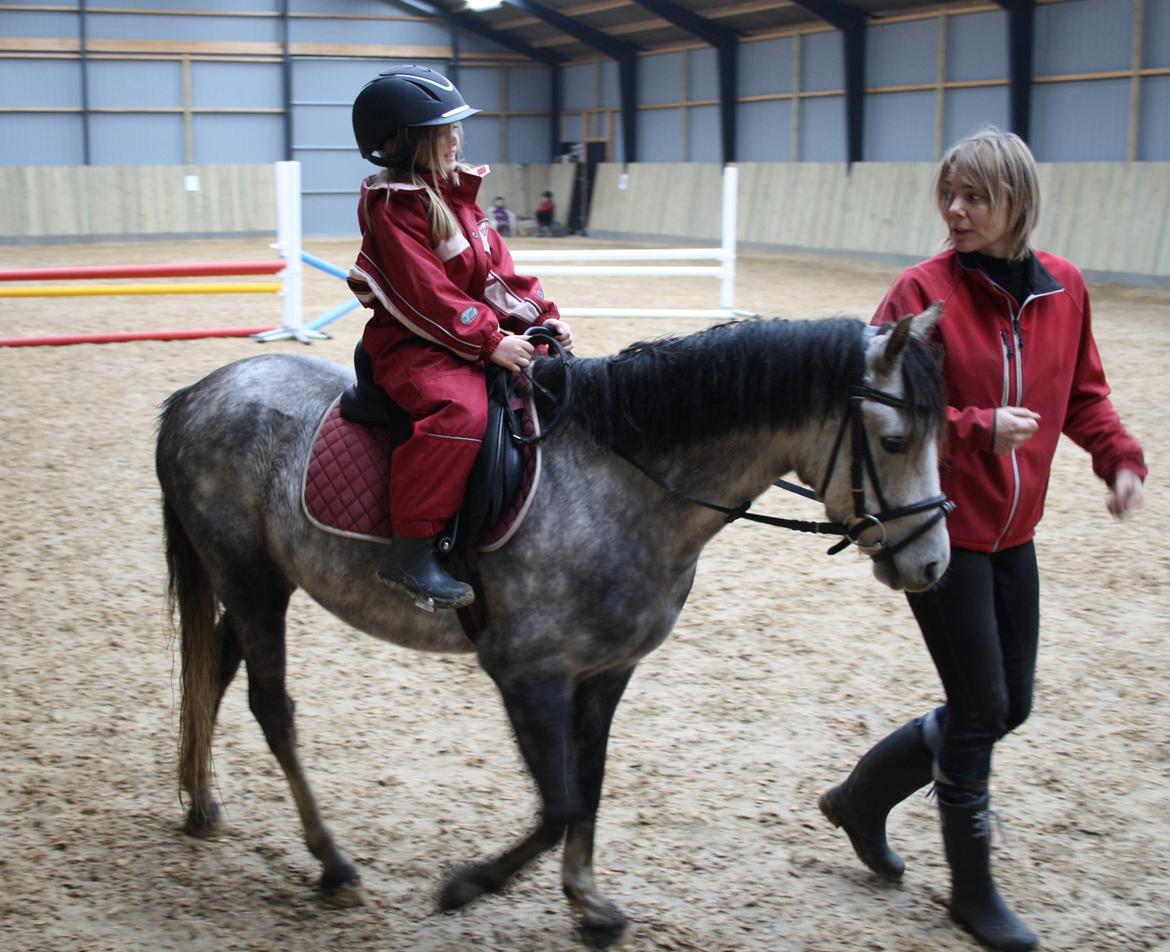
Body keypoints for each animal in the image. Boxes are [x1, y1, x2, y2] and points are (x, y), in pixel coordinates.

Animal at [156, 305, 949, 946]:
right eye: (894, 440)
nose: (934, 564)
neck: (623, 486)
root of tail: (199, 392)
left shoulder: (606, 673)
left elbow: (587, 787)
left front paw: (587, 902)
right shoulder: (526, 670)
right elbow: (559, 804)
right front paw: (469, 886)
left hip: (259, 584)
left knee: (214, 670)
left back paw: (202, 804)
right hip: (254, 583)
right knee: (271, 707)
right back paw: (331, 862)